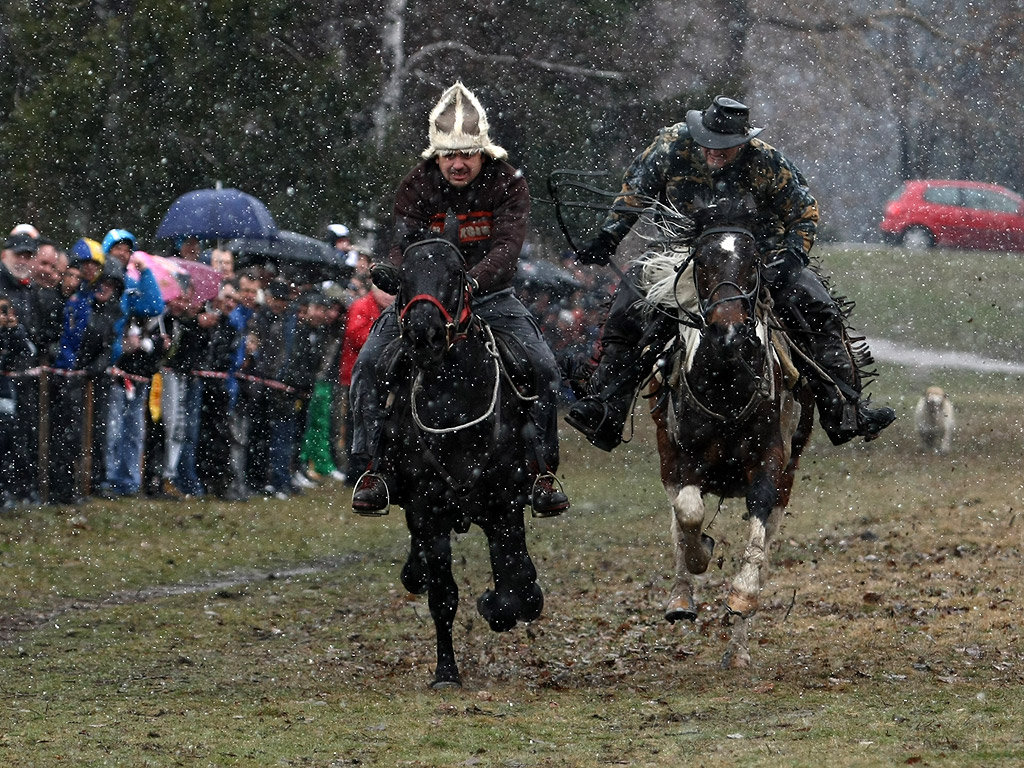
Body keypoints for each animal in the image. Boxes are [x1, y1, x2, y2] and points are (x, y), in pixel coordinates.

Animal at [376, 236, 548, 692]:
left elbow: (519, 585)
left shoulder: (506, 506)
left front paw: (494, 604)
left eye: (455, 274)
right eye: (404, 276)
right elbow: (443, 595)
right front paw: (446, 673)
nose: (424, 334)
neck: (453, 403)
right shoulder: (427, 511)